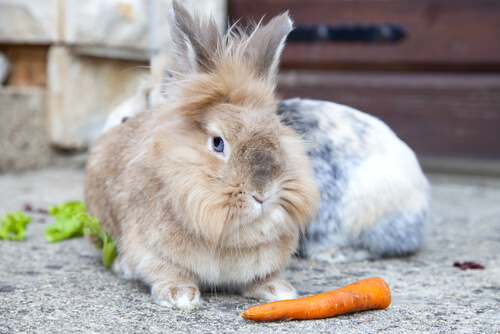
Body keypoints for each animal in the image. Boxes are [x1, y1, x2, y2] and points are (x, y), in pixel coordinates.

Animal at [85, 1, 320, 310]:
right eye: (218, 143)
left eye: (277, 136)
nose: (263, 194)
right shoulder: (151, 250)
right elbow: (167, 271)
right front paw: (180, 296)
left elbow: (261, 277)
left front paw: (279, 291)